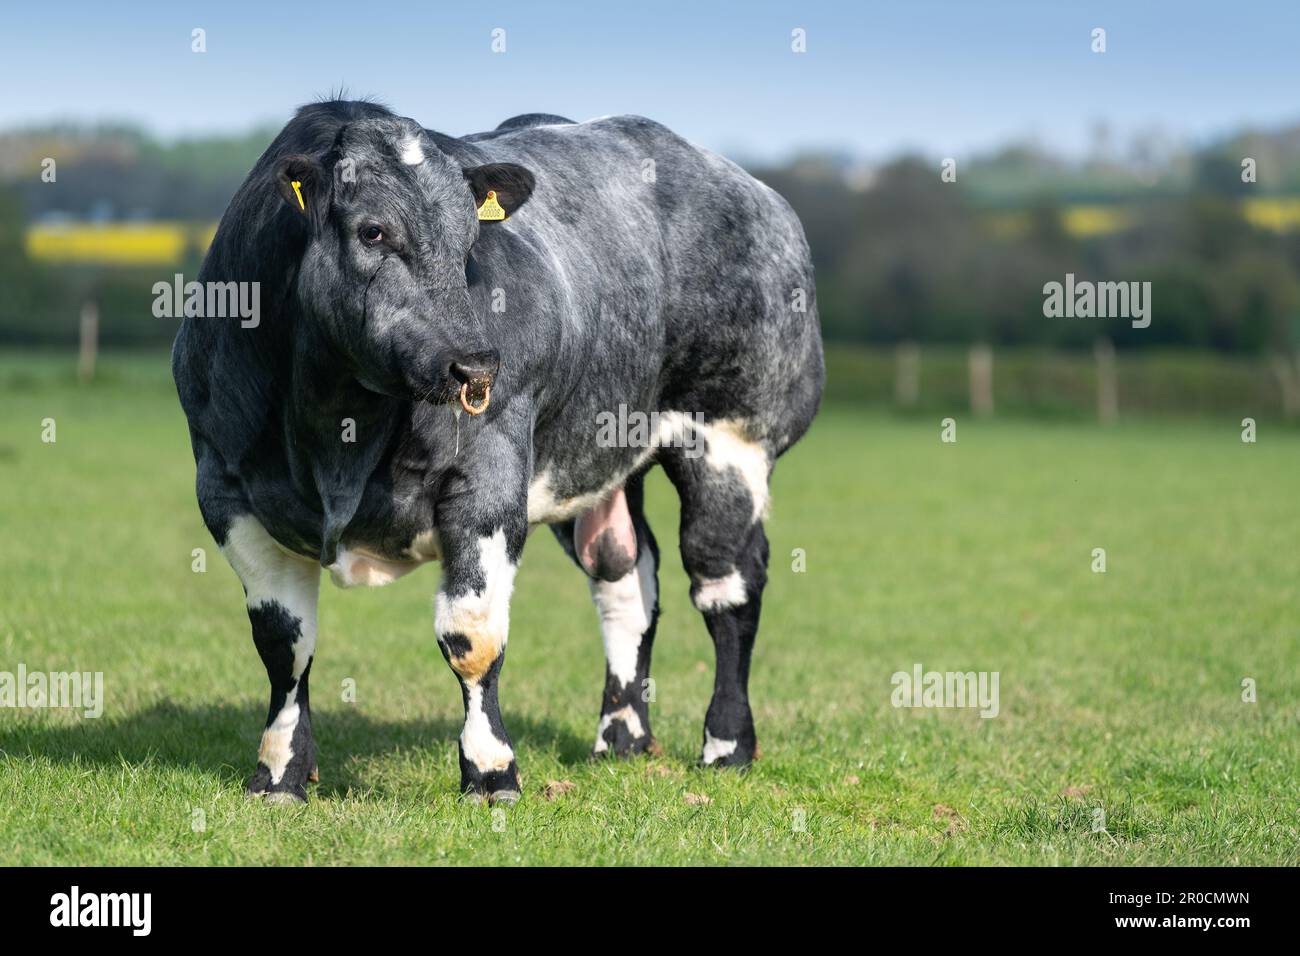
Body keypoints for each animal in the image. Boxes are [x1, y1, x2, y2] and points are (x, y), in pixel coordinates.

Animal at [172, 100, 821, 806]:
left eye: (468, 245)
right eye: (373, 231)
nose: (475, 364)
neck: (337, 428)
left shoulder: (487, 483)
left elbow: (471, 635)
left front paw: (490, 771)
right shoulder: (226, 489)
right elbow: (283, 643)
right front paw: (280, 772)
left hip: (732, 438)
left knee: (726, 586)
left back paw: (726, 745)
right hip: (592, 462)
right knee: (625, 576)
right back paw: (621, 735)